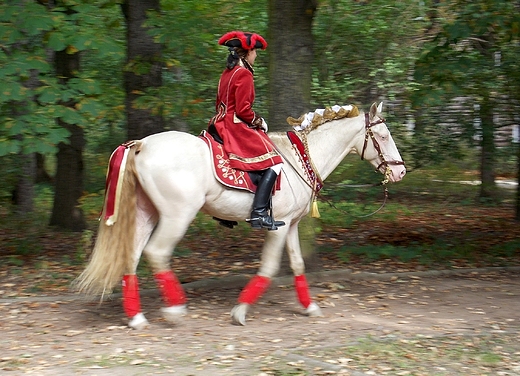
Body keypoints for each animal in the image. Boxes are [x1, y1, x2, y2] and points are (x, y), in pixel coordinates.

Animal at [74, 102, 406, 328]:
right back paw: (175, 309)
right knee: (157, 252)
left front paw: (309, 306)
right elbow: (269, 268)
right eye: (383, 135)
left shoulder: (291, 224)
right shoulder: (278, 226)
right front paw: (240, 311)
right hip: (177, 216)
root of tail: (141, 144)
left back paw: (137, 317)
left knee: (132, 256)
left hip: (146, 213)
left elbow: (298, 264)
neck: (299, 158)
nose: (401, 171)